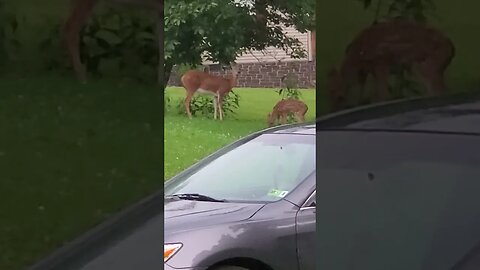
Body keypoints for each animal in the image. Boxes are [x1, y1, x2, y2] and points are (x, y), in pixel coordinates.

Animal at [328, 19, 456, 110]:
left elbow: (382, 95)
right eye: (329, 91)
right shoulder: (372, 71)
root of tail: (451, 47)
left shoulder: (381, 62)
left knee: (439, 90)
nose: (333, 109)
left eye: (340, 97)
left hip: (422, 67)